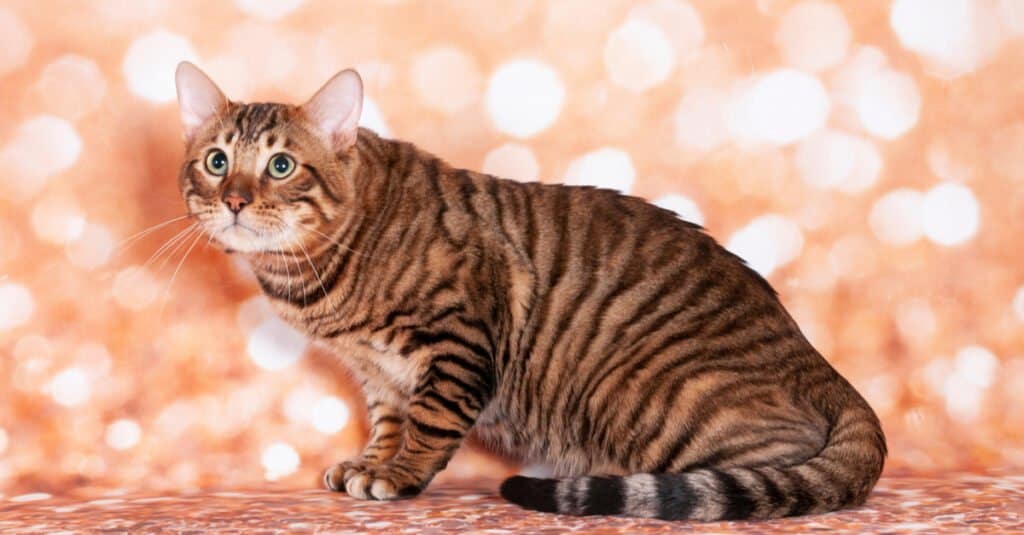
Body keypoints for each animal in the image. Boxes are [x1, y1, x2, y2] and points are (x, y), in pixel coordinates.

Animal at [172, 60, 884, 518]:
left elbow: (428, 422)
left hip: (638, 391)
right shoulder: (377, 371)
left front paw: (398, 475)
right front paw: (371, 463)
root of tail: (813, 357)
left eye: (280, 165)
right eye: (216, 161)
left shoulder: (456, 338)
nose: (235, 200)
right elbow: (389, 419)